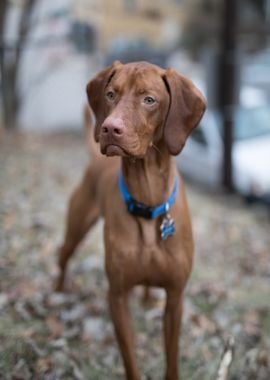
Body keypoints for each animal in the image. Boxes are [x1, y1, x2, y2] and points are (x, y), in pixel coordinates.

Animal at [56, 62, 206, 380]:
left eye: (149, 100)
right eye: (111, 94)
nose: (109, 128)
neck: (146, 199)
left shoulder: (175, 298)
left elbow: (172, 359)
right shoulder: (117, 296)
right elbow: (130, 360)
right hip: (76, 227)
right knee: (63, 253)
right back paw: (58, 291)